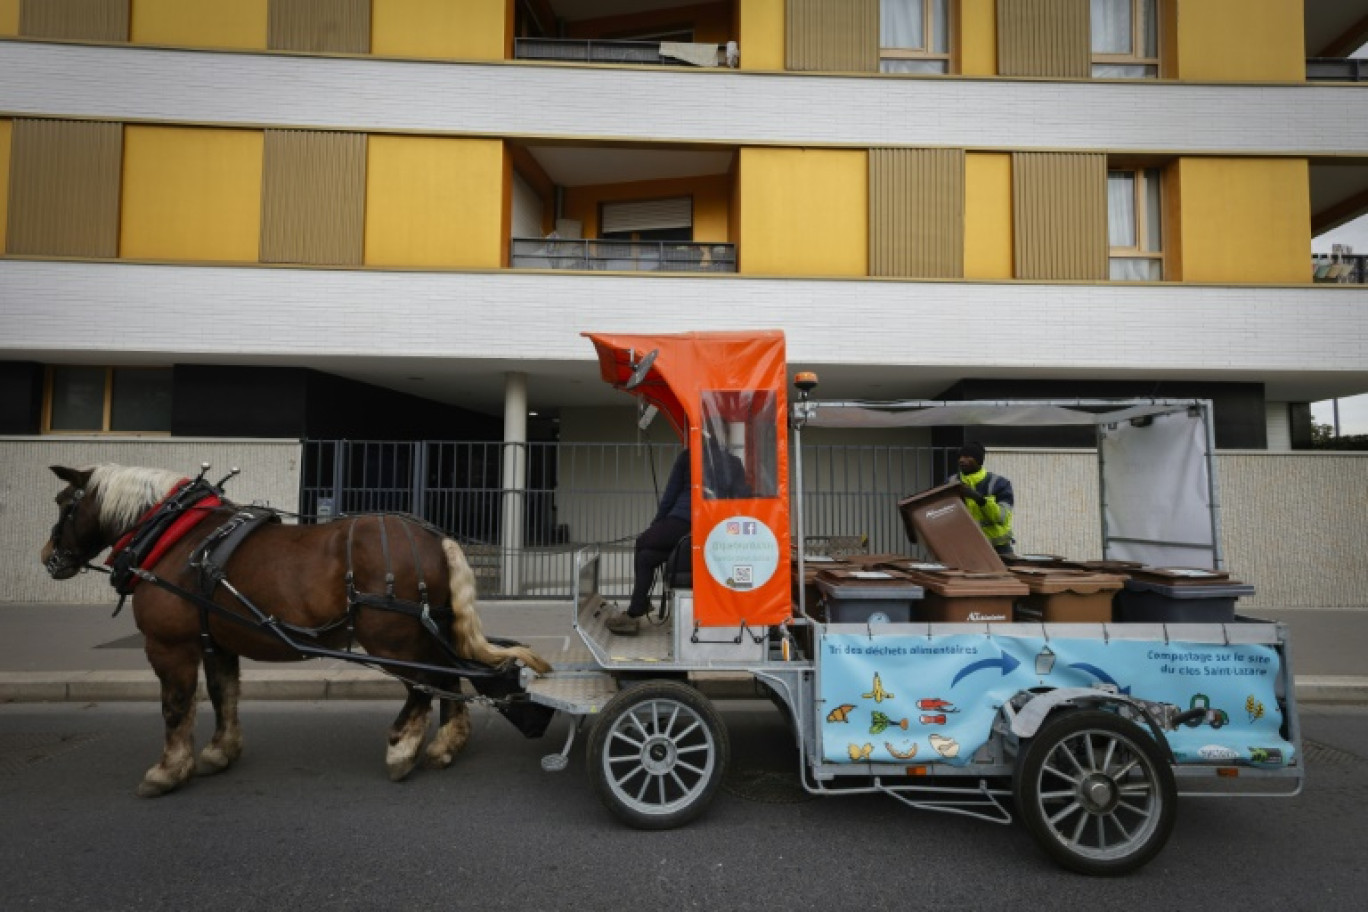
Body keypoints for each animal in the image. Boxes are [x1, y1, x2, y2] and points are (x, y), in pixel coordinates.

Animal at [41, 464, 549, 798]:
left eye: (64, 504)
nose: (48, 557)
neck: (175, 534)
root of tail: (435, 536)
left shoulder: (170, 646)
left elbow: (175, 706)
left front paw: (168, 770)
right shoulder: (217, 640)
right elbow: (224, 694)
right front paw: (220, 751)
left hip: (390, 636)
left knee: (423, 684)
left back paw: (403, 748)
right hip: (424, 629)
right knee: (447, 676)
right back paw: (445, 745)